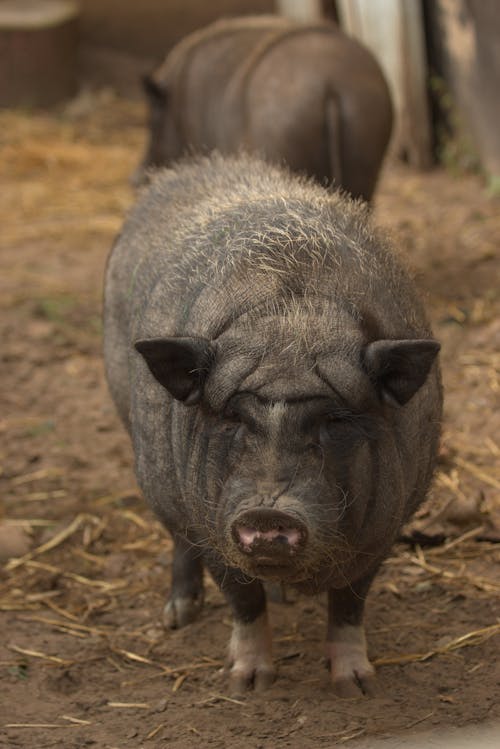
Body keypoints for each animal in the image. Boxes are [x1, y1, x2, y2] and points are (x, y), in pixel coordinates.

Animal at [104, 150, 442, 696]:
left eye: (334, 418)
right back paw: (177, 617)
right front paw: (248, 684)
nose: (267, 513)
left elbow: (349, 603)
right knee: (178, 540)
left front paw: (357, 685)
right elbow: (243, 599)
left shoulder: (385, 527)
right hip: (156, 470)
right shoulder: (211, 523)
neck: (290, 323)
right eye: (230, 415)